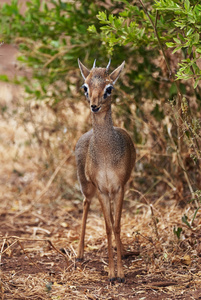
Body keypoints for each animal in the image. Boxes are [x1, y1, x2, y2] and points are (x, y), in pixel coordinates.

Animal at [76, 59, 136, 284]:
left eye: (109, 88)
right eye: (85, 86)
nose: (94, 106)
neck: (105, 154)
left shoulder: (119, 187)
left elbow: (116, 225)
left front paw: (121, 273)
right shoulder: (101, 189)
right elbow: (108, 227)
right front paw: (111, 274)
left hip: (110, 192)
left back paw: (124, 251)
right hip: (87, 187)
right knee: (85, 203)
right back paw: (79, 254)